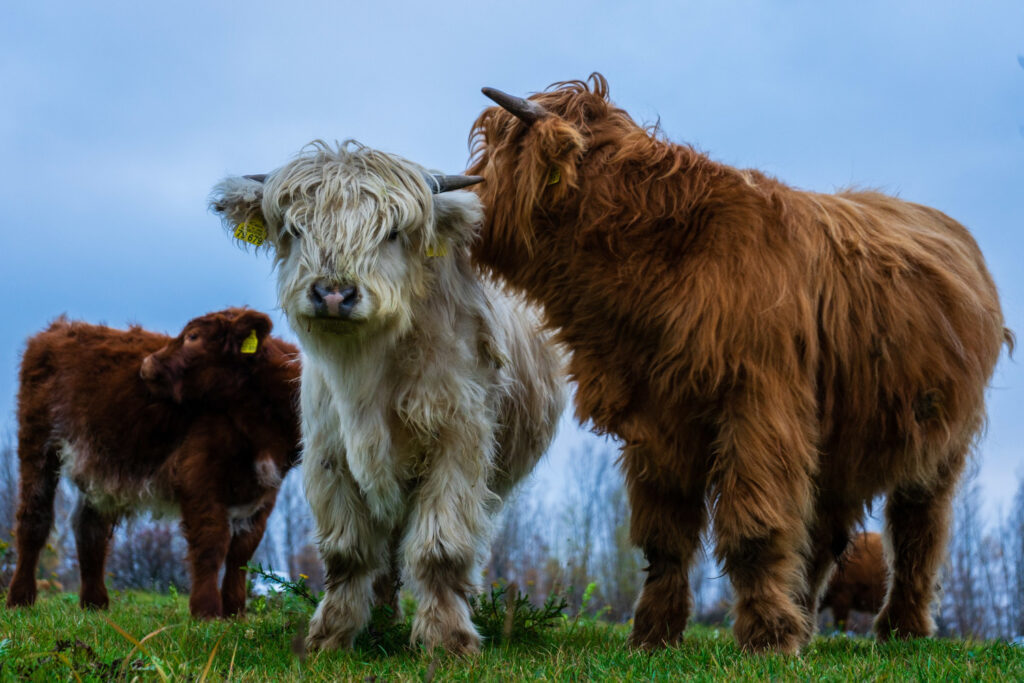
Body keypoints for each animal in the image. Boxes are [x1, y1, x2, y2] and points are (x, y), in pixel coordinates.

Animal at [5, 308, 301, 618]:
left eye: (193, 336)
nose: (146, 363)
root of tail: (59, 329)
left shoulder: (264, 490)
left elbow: (242, 551)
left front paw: (235, 612)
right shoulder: (198, 476)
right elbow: (211, 542)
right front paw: (207, 612)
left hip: (99, 463)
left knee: (89, 527)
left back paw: (95, 605)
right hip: (37, 441)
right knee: (34, 519)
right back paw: (20, 599)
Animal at [210, 140, 565, 654]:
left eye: (393, 232)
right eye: (296, 228)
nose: (333, 294)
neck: (368, 374)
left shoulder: (460, 443)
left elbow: (440, 548)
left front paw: (449, 640)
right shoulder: (329, 451)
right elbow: (347, 551)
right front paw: (330, 636)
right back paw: (380, 617)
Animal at [467, 73, 1011, 653]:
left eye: (497, 151)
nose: (464, 195)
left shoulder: (761, 407)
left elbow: (754, 525)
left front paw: (767, 638)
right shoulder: (659, 417)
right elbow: (664, 536)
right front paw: (654, 634)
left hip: (939, 442)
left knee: (917, 529)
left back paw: (900, 629)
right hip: (840, 437)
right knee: (823, 532)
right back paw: (805, 621)